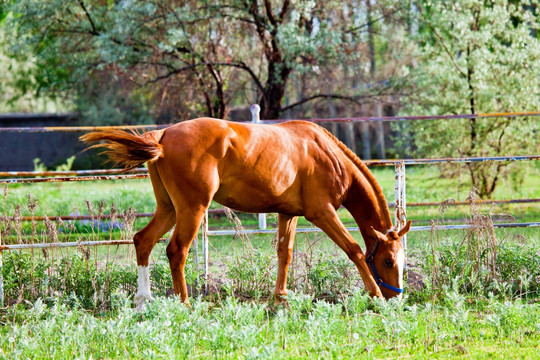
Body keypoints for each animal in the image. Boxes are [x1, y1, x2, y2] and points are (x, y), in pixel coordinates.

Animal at [80, 117, 412, 310]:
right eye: (388, 260)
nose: (397, 296)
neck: (325, 153)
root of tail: (162, 134)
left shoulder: (288, 215)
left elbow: (284, 254)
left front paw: (280, 301)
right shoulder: (322, 213)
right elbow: (354, 250)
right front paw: (376, 296)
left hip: (169, 209)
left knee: (143, 241)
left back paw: (143, 302)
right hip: (192, 209)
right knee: (176, 251)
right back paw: (184, 305)